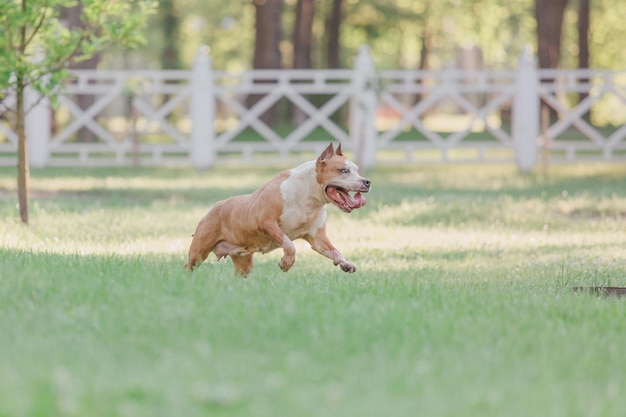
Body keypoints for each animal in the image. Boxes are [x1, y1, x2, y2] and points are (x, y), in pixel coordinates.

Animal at [185, 143, 370, 276]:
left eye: (357, 170)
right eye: (344, 170)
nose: (367, 181)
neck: (308, 197)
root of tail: (212, 209)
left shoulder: (318, 238)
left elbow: (334, 251)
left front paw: (345, 263)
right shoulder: (267, 222)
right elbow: (289, 243)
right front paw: (286, 263)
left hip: (244, 260)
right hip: (199, 251)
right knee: (189, 266)